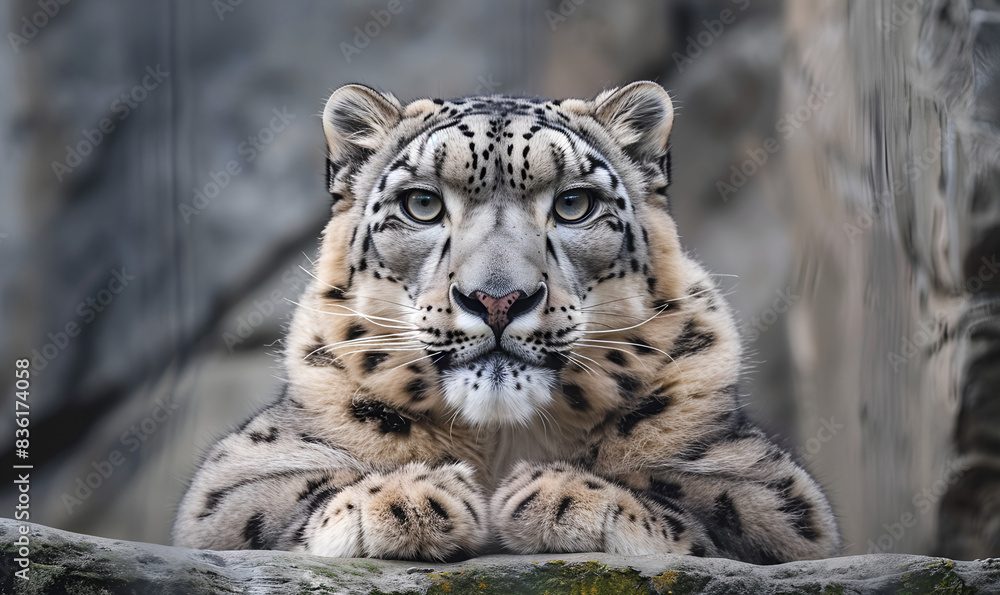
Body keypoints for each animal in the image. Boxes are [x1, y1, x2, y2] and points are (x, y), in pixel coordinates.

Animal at [172, 81, 841, 564]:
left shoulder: (770, 481)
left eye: (574, 204)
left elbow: (700, 495)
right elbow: (274, 492)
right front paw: (407, 498)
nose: (498, 299)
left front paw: (560, 495)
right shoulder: (234, 474)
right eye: (422, 204)